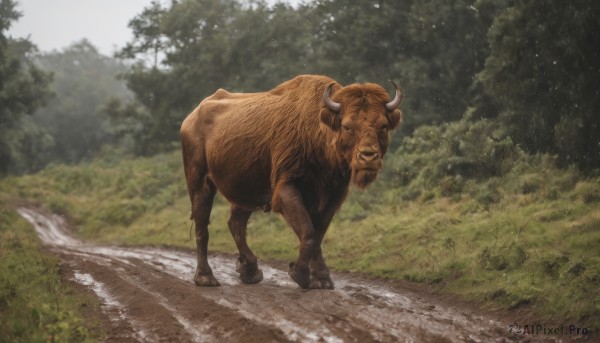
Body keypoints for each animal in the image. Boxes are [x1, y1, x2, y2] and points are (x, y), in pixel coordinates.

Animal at [178, 75, 404, 290]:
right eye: (347, 126)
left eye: (383, 126)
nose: (368, 156)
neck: (318, 130)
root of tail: (190, 118)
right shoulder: (287, 188)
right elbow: (309, 233)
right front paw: (299, 274)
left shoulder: (333, 196)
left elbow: (317, 234)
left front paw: (322, 279)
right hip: (199, 182)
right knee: (202, 225)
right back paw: (206, 277)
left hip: (246, 190)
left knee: (236, 223)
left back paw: (250, 271)